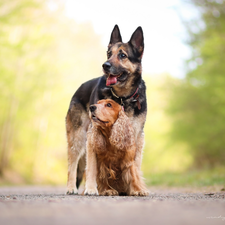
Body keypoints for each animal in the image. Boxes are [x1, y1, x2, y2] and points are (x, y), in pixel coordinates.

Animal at [66, 24, 147, 193]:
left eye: (122, 55)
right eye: (109, 54)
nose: (105, 65)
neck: (122, 97)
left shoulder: (137, 136)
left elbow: (135, 165)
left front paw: (136, 189)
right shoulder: (93, 135)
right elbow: (91, 167)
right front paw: (91, 189)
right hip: (77, 138)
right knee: (72, 165)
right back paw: (72, 187)